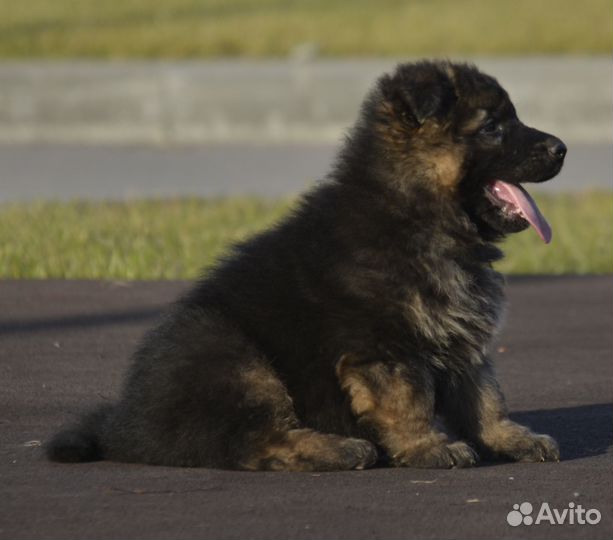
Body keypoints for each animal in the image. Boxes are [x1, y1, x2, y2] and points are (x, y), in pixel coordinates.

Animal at [47, 61, 564, 470]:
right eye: (493, 127)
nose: (562, 148)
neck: (414, 210)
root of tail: (125, 426)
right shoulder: (382, 346)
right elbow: (409, 400)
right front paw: (427, 447)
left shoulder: (462, 334)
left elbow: (485, 395)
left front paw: (510, 438)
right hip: (232, 356)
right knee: (259, 442)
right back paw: (340, 449)